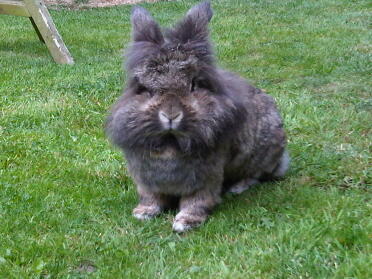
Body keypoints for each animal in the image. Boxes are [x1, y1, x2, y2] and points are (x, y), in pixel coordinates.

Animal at [106, 1, 290, 234]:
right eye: (146, 89)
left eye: (193, 85)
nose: (171, 115)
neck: (171, 142)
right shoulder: (146, 179)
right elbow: (151, 197)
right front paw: (143, 213)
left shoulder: (206, 179)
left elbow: (196, 201)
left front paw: (185, 223)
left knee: (258, 174)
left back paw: (237, 188)